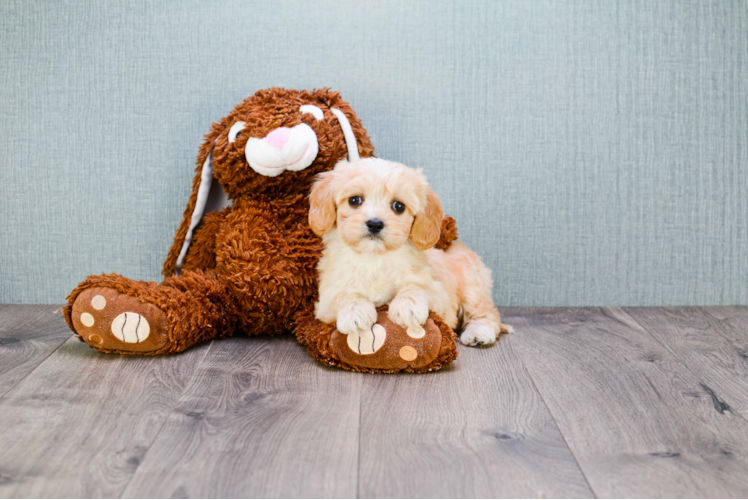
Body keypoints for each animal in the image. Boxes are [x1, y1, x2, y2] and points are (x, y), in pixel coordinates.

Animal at [306, 158, 512, 346]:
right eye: (354, 200)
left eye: (399, 206)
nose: (375, 223)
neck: (375, 257)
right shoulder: (325, 301)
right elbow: (344, 295)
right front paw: (355, 311)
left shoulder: (439, 296)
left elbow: (415, 286)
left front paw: (408, 306)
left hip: (472, 287)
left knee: (487, 313)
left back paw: (479, 333)